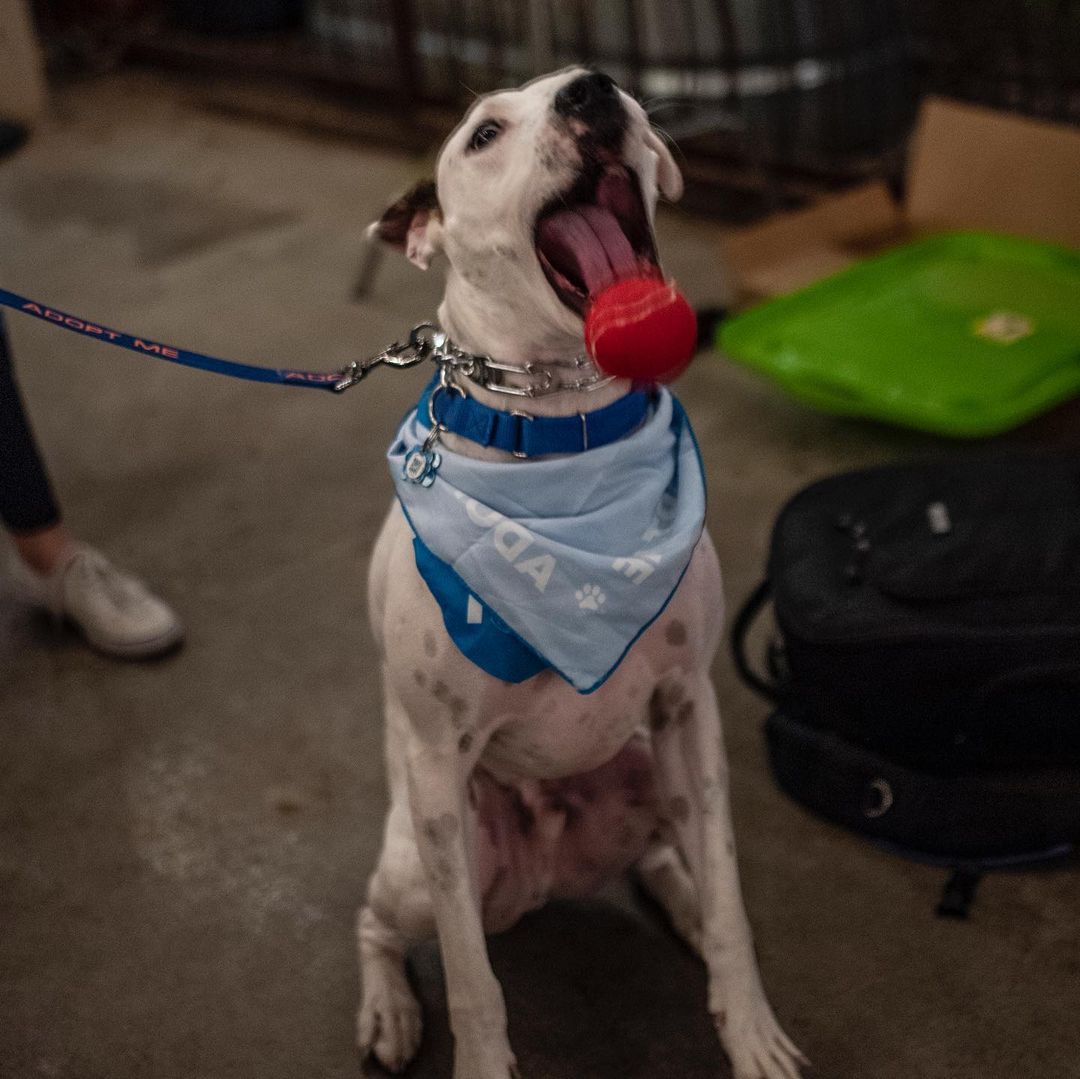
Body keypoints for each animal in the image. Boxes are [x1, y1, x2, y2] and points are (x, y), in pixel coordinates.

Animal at [358, 69, 807, 1079]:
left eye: (619, 91)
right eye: (484, 134)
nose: (592, 92)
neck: (562, 423)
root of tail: (549, 877)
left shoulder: (688, 709)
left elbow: (732, 897)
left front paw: (750, 1027)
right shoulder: (438, 777)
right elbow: (473, 980)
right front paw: (480, 1063)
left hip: (649, 771)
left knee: (671, 860)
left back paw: (684, 912)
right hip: (417, 863)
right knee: (375, 920)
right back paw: (387, 1008)